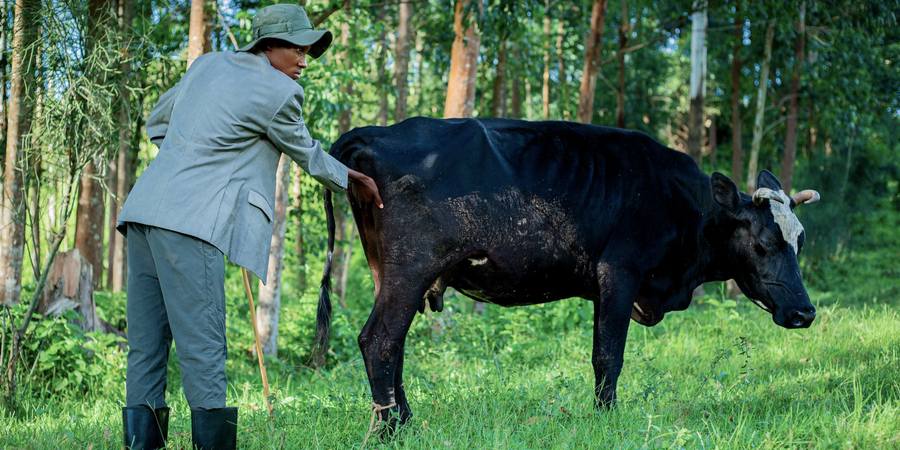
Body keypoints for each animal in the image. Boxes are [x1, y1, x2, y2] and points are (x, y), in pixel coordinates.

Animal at [314, 117, 820, 431]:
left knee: (392, 344)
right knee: (380, 339)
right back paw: (390, 429)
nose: (805, 312)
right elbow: (608, 356)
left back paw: (404, 420)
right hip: (412, 267)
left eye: (800, 240)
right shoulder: (620, 273)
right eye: (763, 244)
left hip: (387, 270)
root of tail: (373, 134)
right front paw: (606, 418)